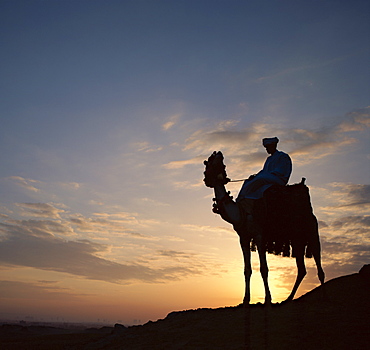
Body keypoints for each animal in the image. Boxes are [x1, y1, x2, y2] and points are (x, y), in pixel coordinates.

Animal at [204, 152, 326, 304]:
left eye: (215, 162)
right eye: (209, 161)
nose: (218, 152)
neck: (242, 212)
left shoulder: (259, 235)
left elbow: (264, 269)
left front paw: (268, 299)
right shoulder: (243, 238)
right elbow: (247, 270)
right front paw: (245, 299)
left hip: (311, 230)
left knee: (318, 262)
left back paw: (323, 297)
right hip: (297, 239)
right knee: (302, 269)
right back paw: (288, 299)